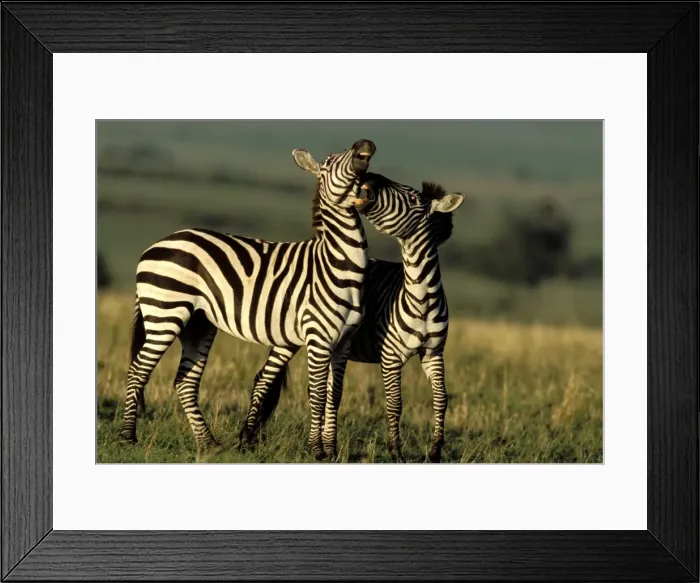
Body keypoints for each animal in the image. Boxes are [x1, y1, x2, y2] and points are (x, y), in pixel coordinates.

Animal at [243, 173, 464, 462]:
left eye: (412, 197)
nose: (371, 176)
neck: (423, 298)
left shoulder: (433, 352)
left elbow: (442, 398)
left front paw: (436, 450)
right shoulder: (390, 356)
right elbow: (395, 402)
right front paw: (395, 452)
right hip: (288, 339)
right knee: (263, 380)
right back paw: (247, 439)